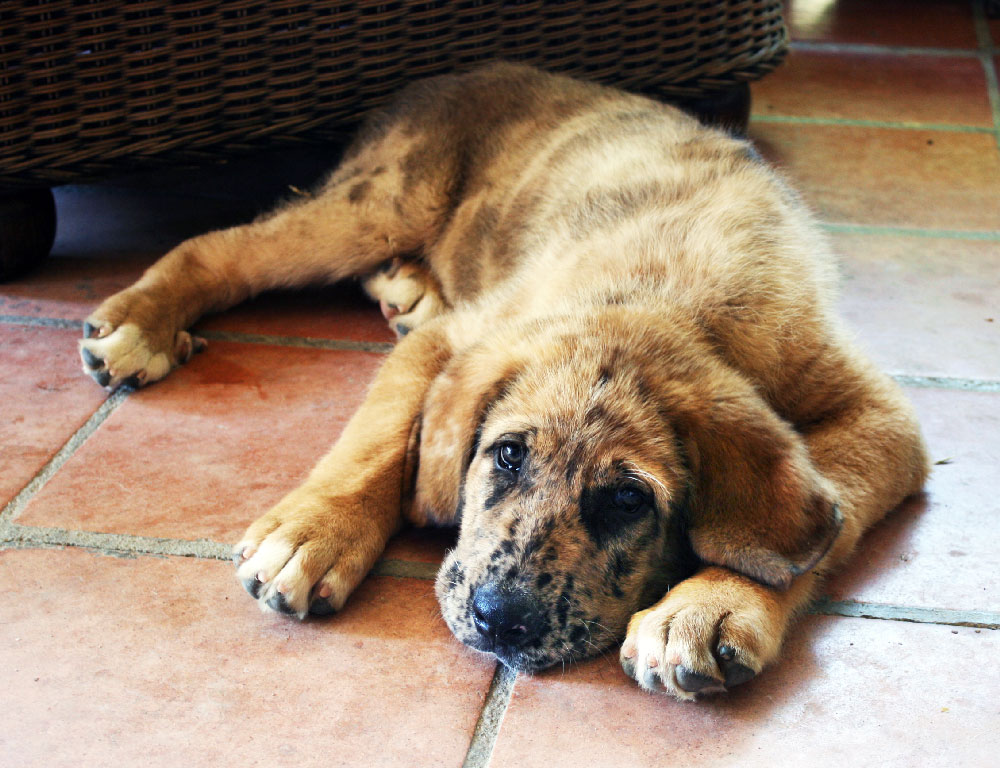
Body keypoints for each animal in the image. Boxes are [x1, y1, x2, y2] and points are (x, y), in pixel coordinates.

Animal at [80, 64, 928, 704]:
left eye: (630, 500)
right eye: (507, 455)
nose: (497, 621)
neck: (661, 299)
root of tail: (450, 72)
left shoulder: (880, 416)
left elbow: (828, 523)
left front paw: (710, 606)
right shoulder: (459, 343)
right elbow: (382, 441)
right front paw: (315, 532)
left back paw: (405, 288)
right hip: (378, 204)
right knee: (221, 247)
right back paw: (141, 323)